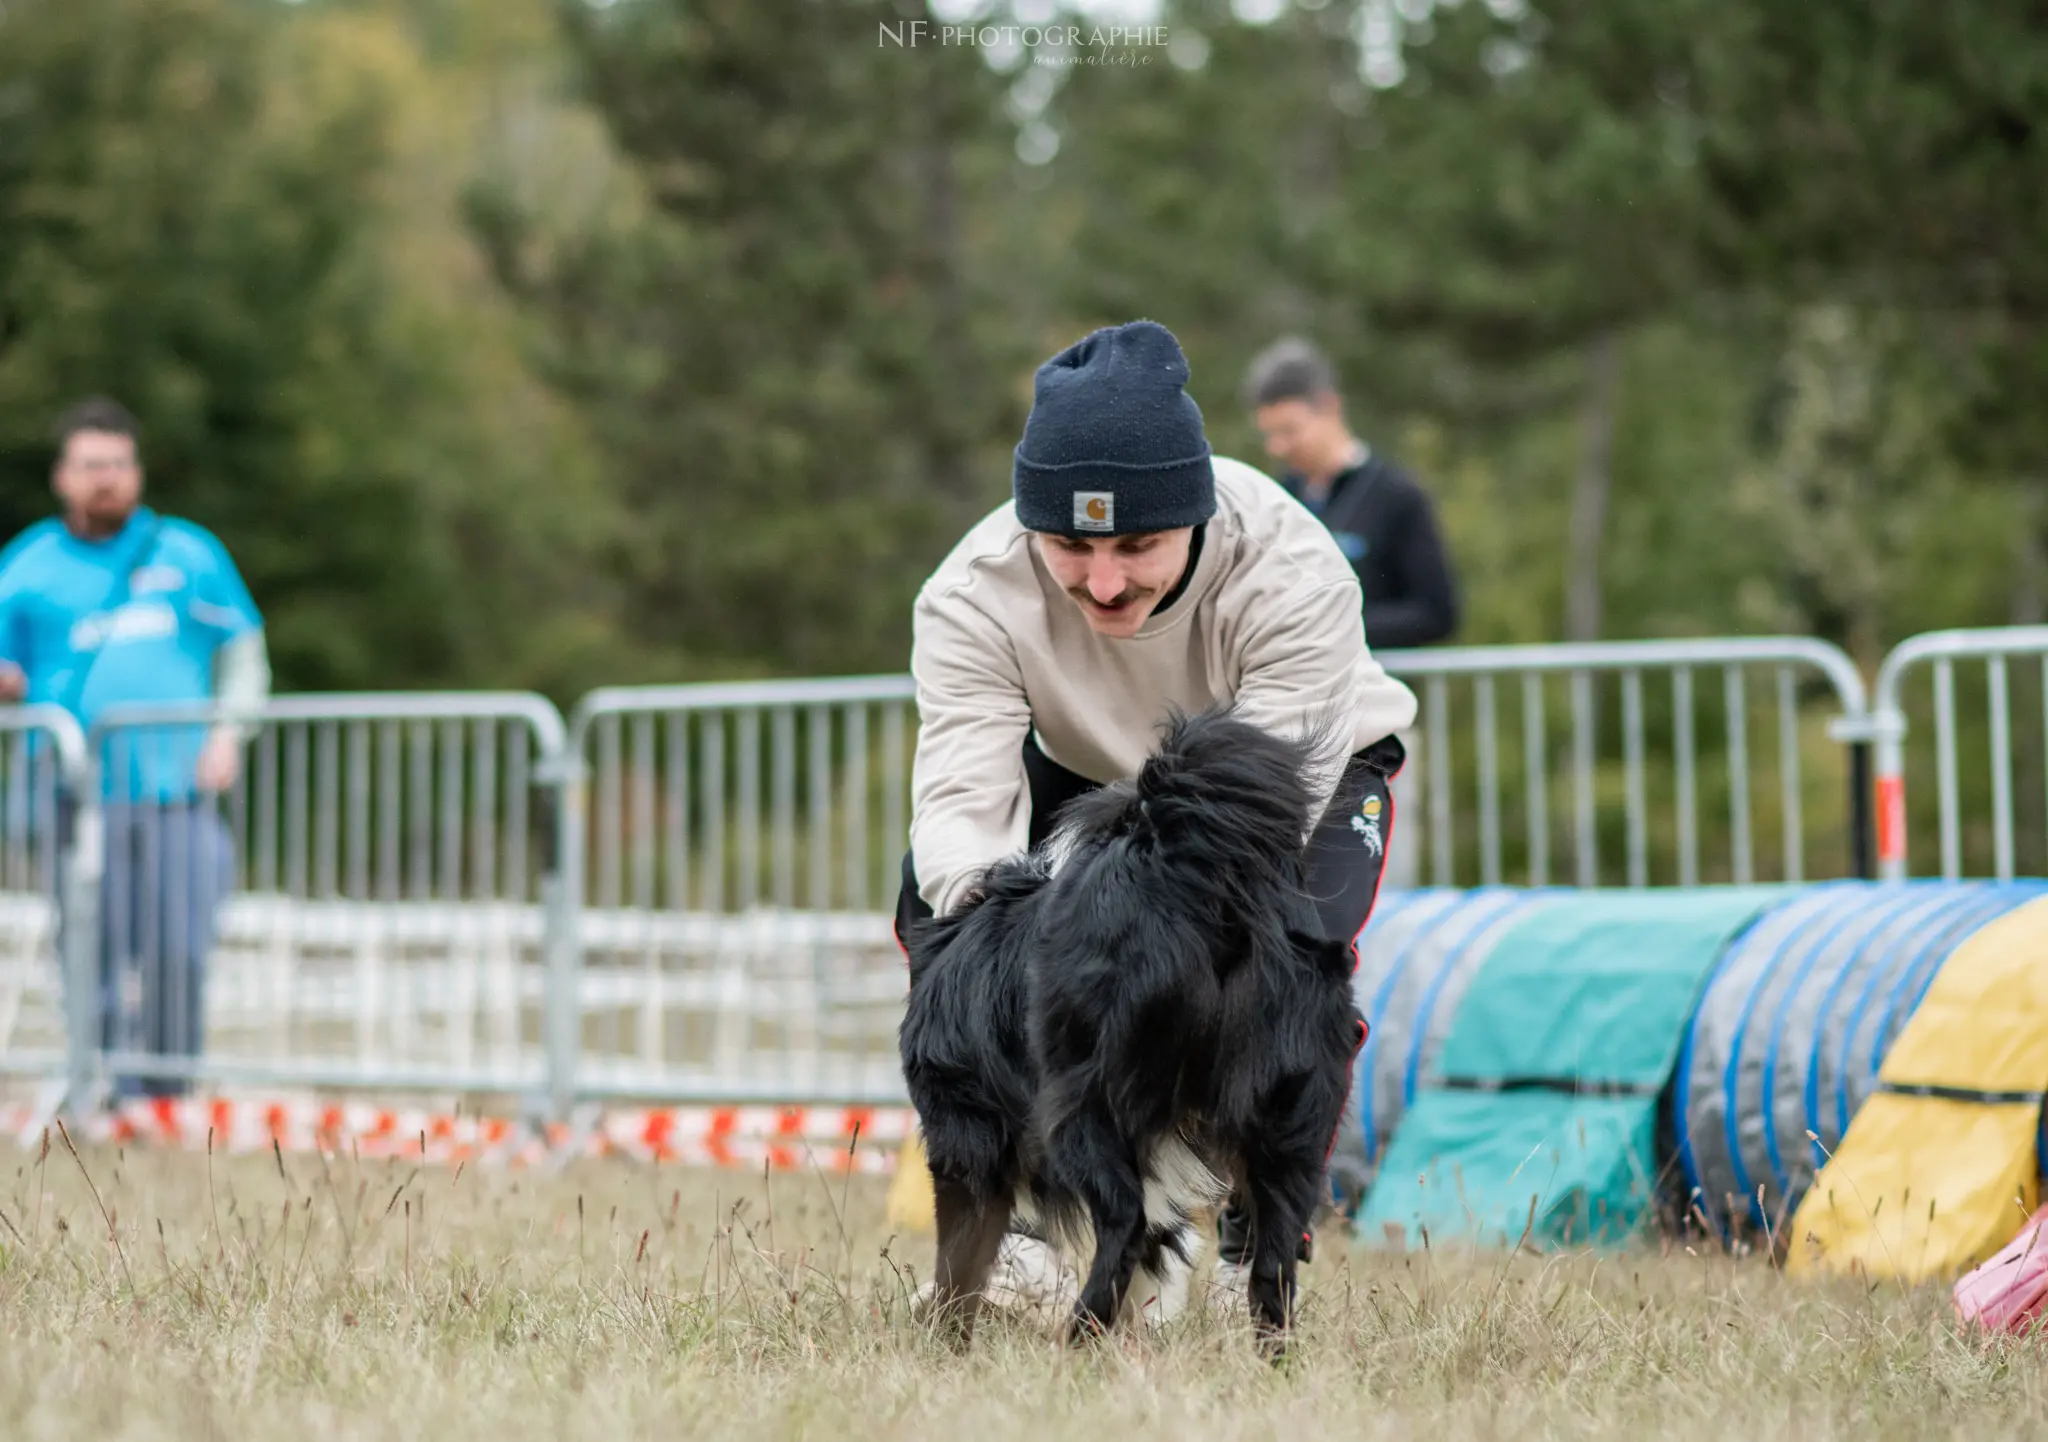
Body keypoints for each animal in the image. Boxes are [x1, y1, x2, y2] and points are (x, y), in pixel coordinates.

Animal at [901, 708, 1368, 1351]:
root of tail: (1189, 877)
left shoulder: (966, 1145)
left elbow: (962, 1260)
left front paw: (944, 1335)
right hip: (1290, 1124)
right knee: (1273, 1259)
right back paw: (1271, 1357)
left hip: (1083, 1107)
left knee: (1122, 1224)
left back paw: (1078, 1337)